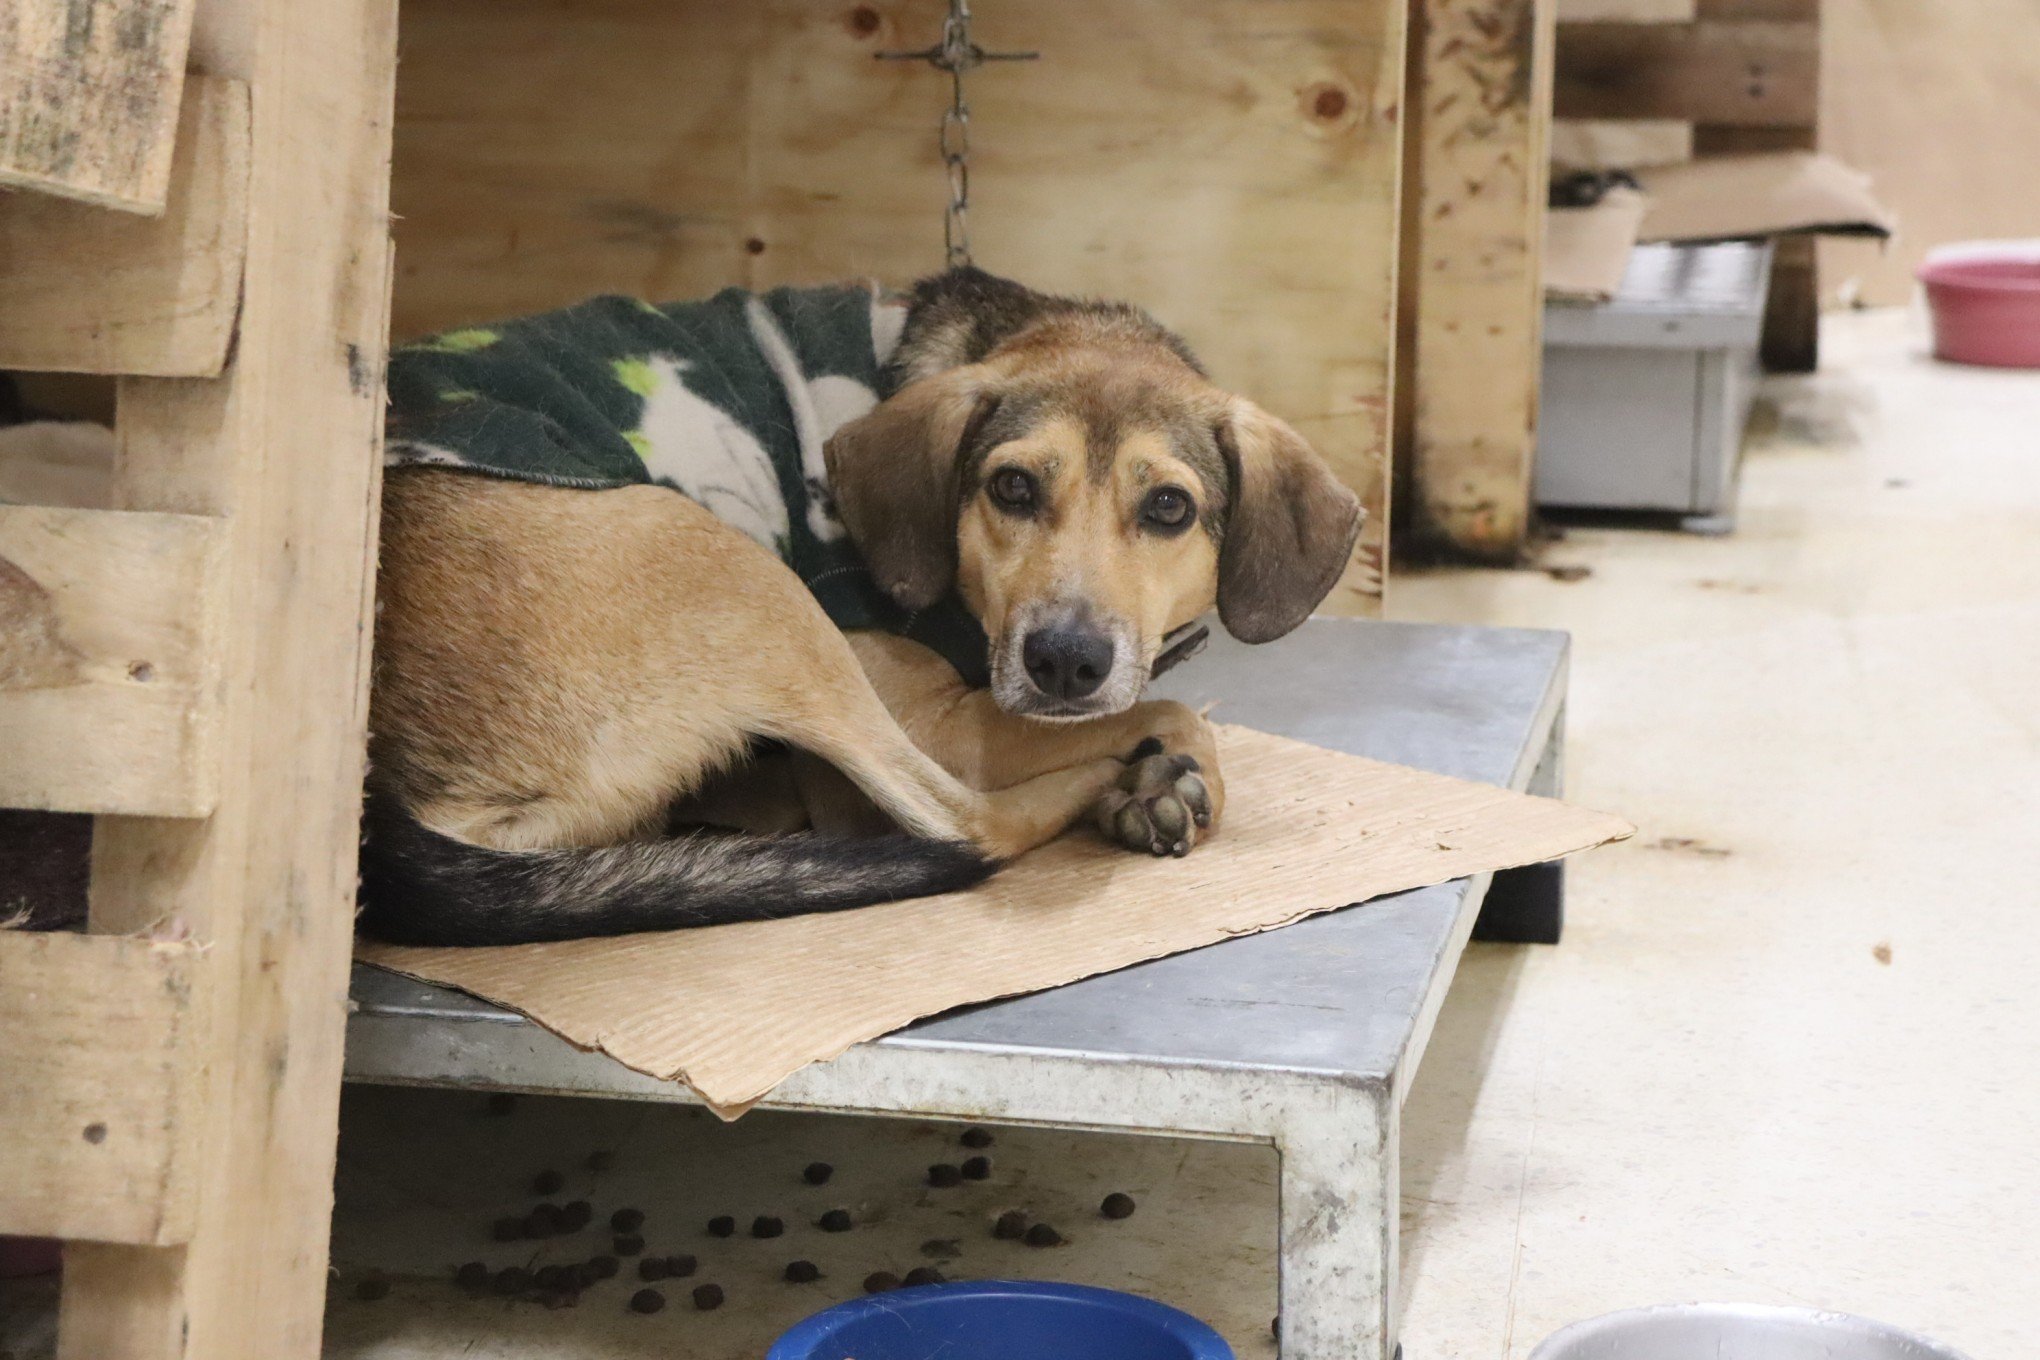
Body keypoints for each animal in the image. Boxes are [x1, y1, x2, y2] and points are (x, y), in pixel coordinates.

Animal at [359, 271, 1362, 942]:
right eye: (1010, 487)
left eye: (1169, 509)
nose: (1066, 663)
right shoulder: (947, 717)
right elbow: (1183, 712)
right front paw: (1160, 772)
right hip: (748, 584)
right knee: (965, 824)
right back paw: (1099, 782)